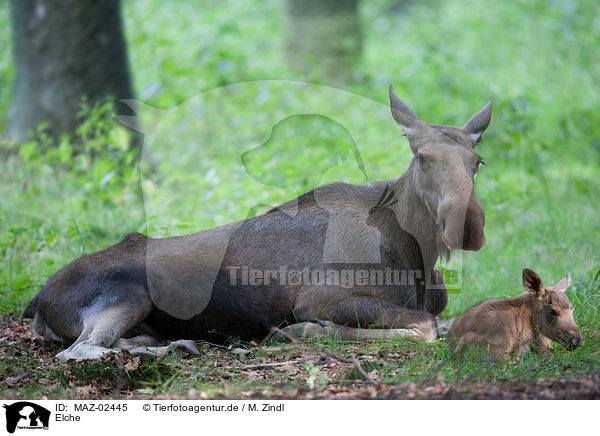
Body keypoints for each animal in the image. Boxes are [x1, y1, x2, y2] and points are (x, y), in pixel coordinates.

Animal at [22, 86, 492, 362]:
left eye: (477, 161)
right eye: (422, 157)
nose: (466, 224)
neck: (417, 255)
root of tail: (38, 302)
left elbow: (440, 322)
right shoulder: (319, 296)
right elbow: (424, 327)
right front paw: (302, 332)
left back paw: (182, 342)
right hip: (129, 295)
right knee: (81, 350)